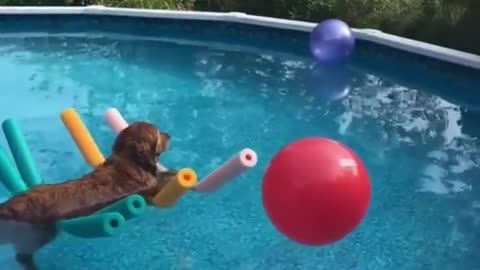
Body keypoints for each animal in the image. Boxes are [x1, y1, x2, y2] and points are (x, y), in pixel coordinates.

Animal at [0, 122, 174, 270]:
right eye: (158, 133)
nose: (169, 134)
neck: (128, 161)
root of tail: (7, 208)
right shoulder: (148, 189)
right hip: (43, 232)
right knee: (22, 255)